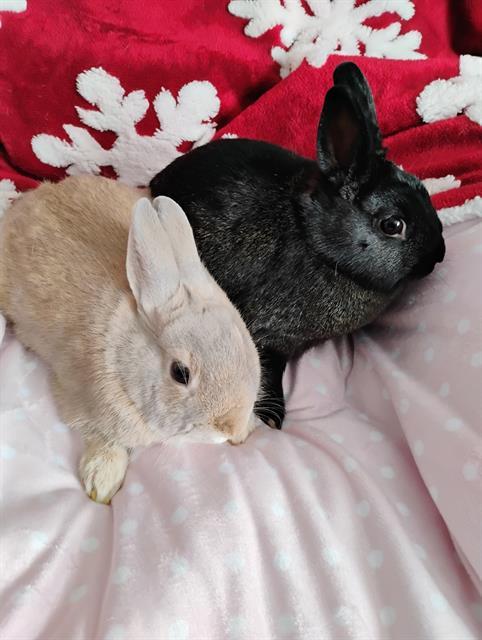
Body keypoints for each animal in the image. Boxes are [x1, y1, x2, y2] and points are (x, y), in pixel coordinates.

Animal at [0, 176, 261, 503]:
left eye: (244, 341)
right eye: (180, 373)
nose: (229, 427)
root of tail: (24, 204)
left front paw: (248, 429)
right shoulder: (81, 402)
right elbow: (103, 439)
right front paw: (102, 482)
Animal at [150, 62, 445, 429]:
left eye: (423, 189)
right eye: (392, 225)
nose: (438, 255)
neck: (315, 240)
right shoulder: (269, 332)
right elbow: (267, 366)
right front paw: (272, 416)